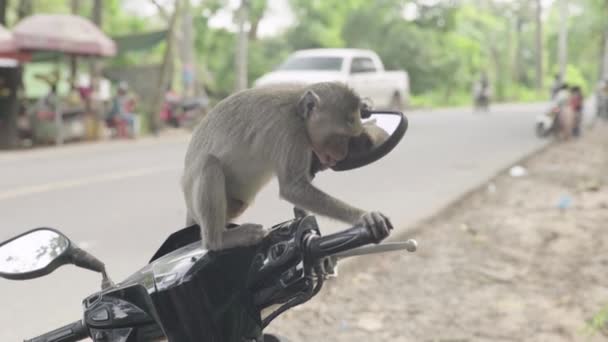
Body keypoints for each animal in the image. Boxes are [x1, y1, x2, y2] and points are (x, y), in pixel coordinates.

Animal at [180, 81, 394, 250]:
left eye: (351, 139)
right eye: (340, 137)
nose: (341, 155)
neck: (299, 114)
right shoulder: (291, 132)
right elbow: (293, 188)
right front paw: (363, 216)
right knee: (209, 163)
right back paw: (219, 241)